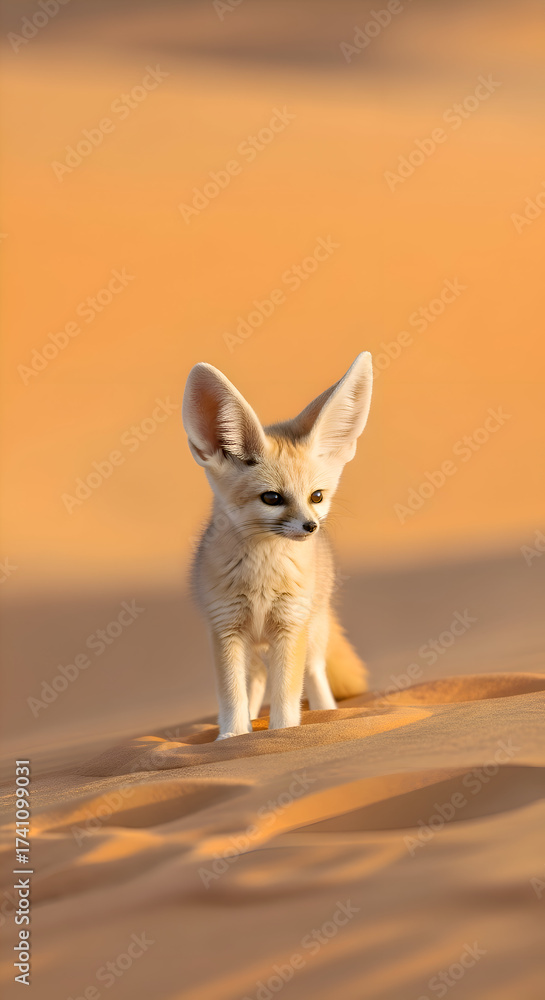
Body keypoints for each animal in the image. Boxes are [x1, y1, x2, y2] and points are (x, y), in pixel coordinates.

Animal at [182, 352, 373, 739]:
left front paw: (283, 734)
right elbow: (232, 695)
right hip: (255, 649)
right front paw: (233, 737)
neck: (261, 576)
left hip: (311, 633)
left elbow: (287, 695)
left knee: (314, 673)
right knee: (254, 682)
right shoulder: (225, 629)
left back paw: (328, 714)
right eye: (272, 498)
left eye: (317, 496)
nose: (310, 527)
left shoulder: (289, 626)